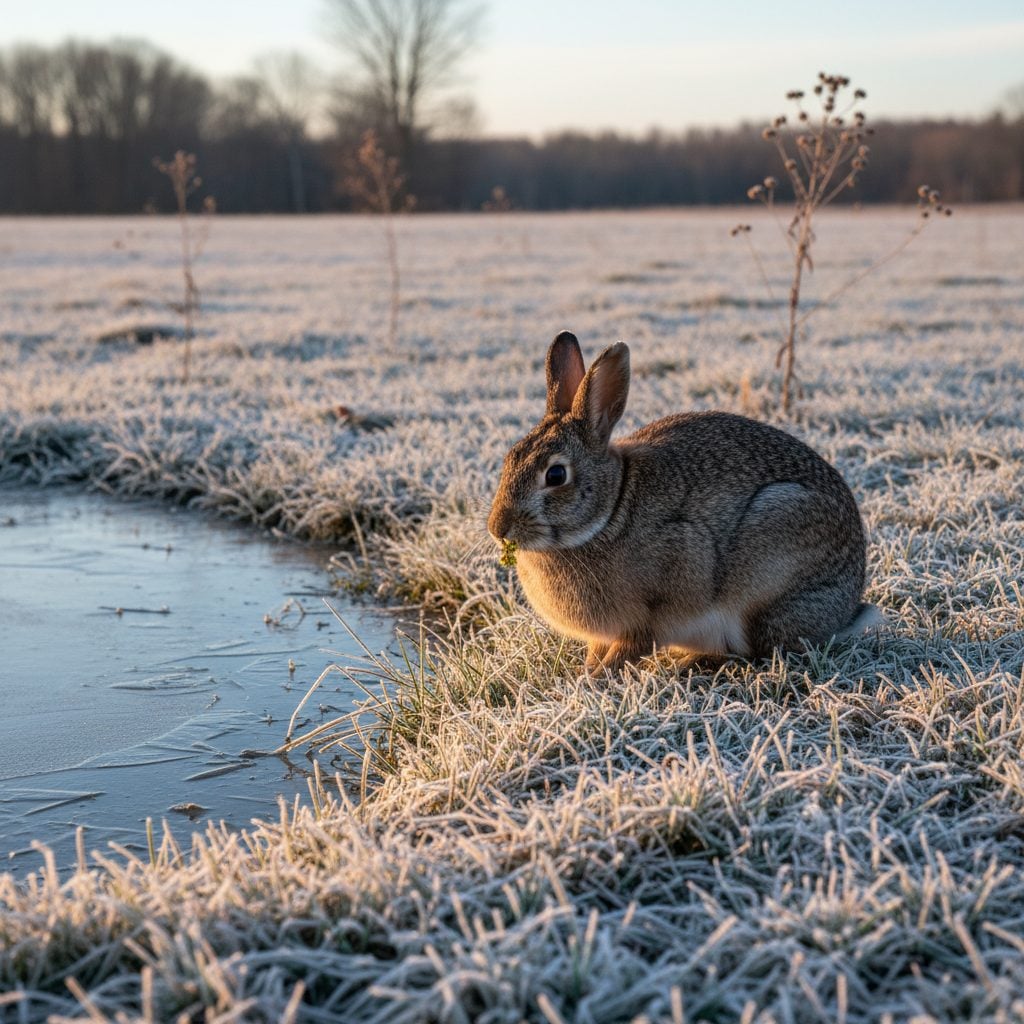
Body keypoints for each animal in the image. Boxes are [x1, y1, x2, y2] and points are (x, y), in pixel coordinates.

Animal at [487, 330, 880, 672]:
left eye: (556, 475)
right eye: (510, 457)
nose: (497, 527)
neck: (610, 510)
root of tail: (846, 609)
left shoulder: (670, 584)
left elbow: (634, 645)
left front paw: (597, 678)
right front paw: (587, 671)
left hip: (773, 553)